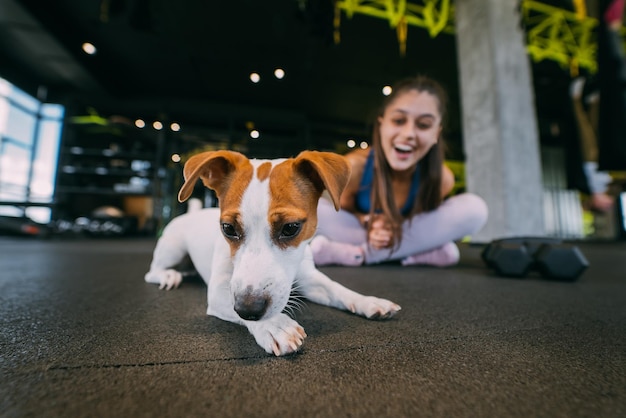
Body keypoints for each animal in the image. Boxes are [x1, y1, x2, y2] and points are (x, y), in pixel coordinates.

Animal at [144, 150, 400, 356]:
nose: (248, 309)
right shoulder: (218, 293)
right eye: (228, 228)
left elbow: (337, 290)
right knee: (152, 272)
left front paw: (367, 301)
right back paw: (168, 275)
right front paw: (274, 326)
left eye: (291, 228)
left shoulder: (310, 279)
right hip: (173, 248)